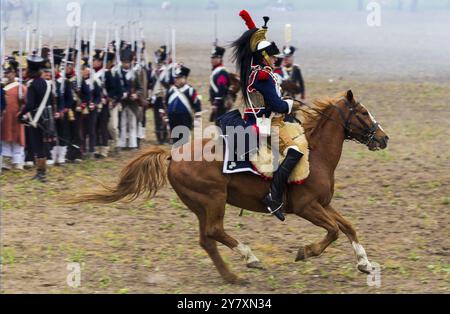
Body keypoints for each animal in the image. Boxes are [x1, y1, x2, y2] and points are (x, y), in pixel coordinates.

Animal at [73, 89, 386, 284]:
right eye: (362, 112)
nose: (384, 138)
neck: (316, 154)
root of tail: (173, 154)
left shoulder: (323, 204)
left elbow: (348, 227)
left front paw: (365, 264)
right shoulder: (307, 207)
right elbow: (333, 231)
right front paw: (305, 252)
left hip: (201, 205)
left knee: (207, 239)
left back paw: (232, 276)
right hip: (214, 199)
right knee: (214, 232)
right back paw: (250, 258)